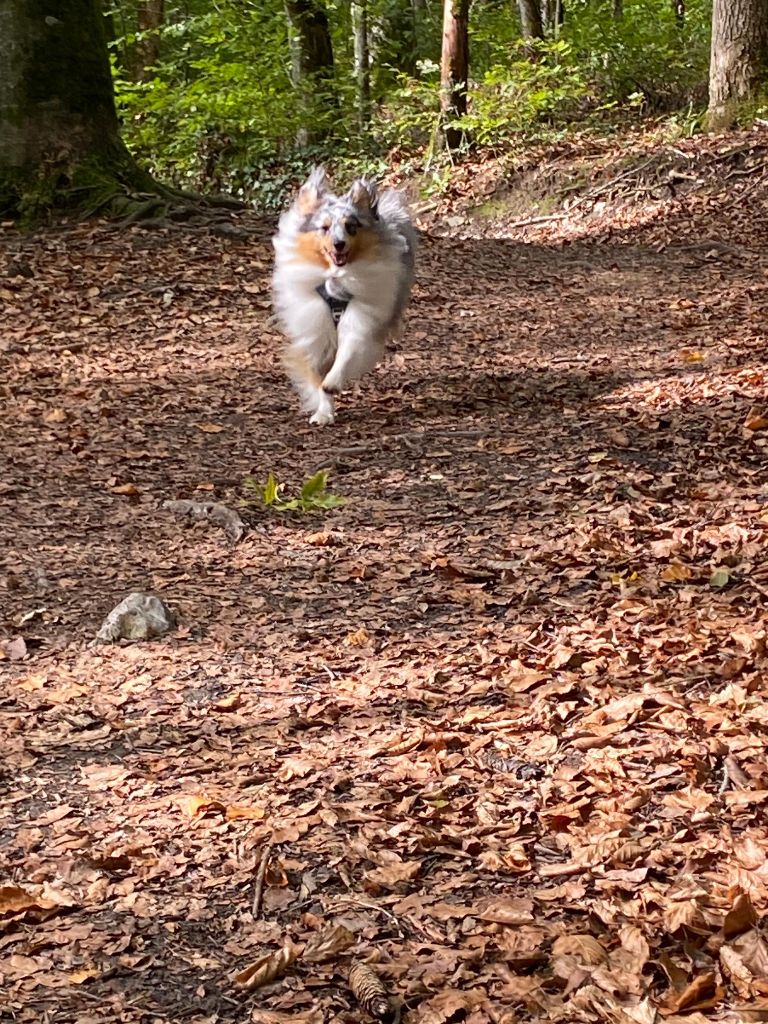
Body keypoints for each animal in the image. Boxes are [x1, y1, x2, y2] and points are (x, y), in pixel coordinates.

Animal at [270, 167, 415, 423]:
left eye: (351, 227)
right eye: (324, 227)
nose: (339, 244)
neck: (335, 277)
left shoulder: (362, 318)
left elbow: (347, 353)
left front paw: (333, 382)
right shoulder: (315, 328)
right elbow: (317, 375)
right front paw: (323, 413)